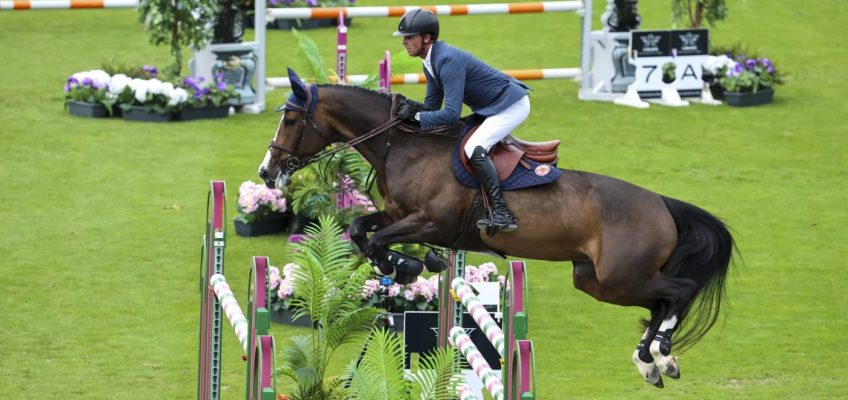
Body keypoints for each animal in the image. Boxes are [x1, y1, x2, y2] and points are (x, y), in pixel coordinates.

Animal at [258, 69, 736, 388]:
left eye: (291, 120)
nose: (266, 172)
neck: (407, 146)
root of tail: (662, 204)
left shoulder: (428, 220)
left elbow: (375, 239)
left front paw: (408, 265)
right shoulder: (397, 215)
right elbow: (361, 230)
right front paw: (407, 265)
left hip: (621, 275)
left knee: (679, 290)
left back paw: (659, 353)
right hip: (598, 281)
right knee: (659, 300)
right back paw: (650, 362)